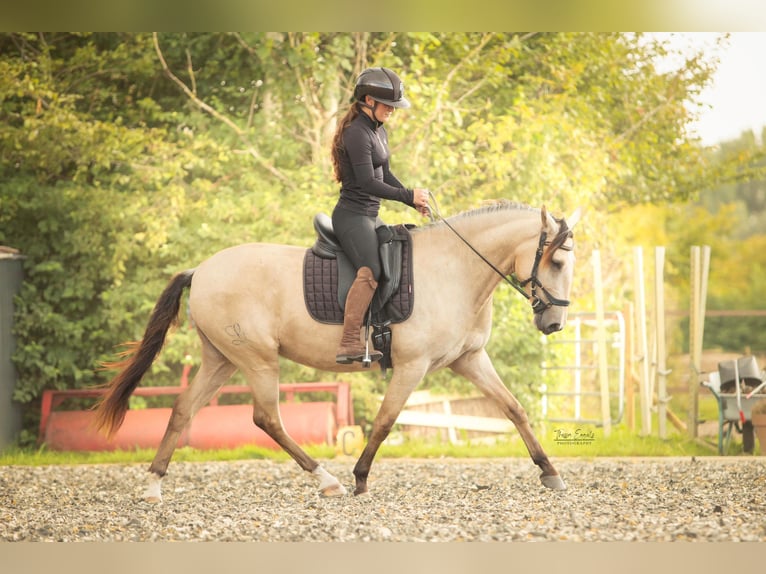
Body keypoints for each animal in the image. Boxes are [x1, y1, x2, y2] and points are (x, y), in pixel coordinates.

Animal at [97, 200, 588, 502]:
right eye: (557, 262)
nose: (554, 324)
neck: (455, 268)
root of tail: (200, 270)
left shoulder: (469, 359)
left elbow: (514, 409)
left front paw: (550, 471)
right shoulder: (412, 366)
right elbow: (386, 421)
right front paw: (360, 478)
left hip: (222, 359)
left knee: (184, 410)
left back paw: (153, 486)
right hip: (257, 359)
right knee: (266, 419)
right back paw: (327, 479)